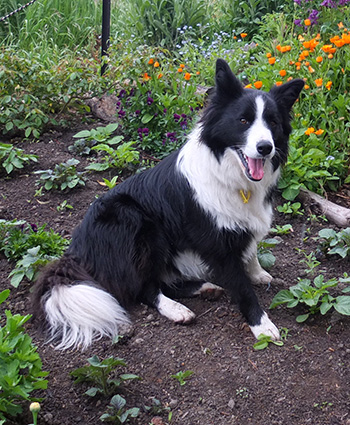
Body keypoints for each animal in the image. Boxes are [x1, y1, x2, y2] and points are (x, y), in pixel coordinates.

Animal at [32, 60, 304, 352]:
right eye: (243, 120)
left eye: (273, 122)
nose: (265, 147)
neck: (232, 176)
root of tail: (76, 252)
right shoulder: (217, 245)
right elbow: (242, 288)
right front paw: (262, 325)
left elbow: (251, 251)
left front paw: (258, 273)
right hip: (138, 222)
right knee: (142, 288)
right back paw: (176, 309)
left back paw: (203, 288)